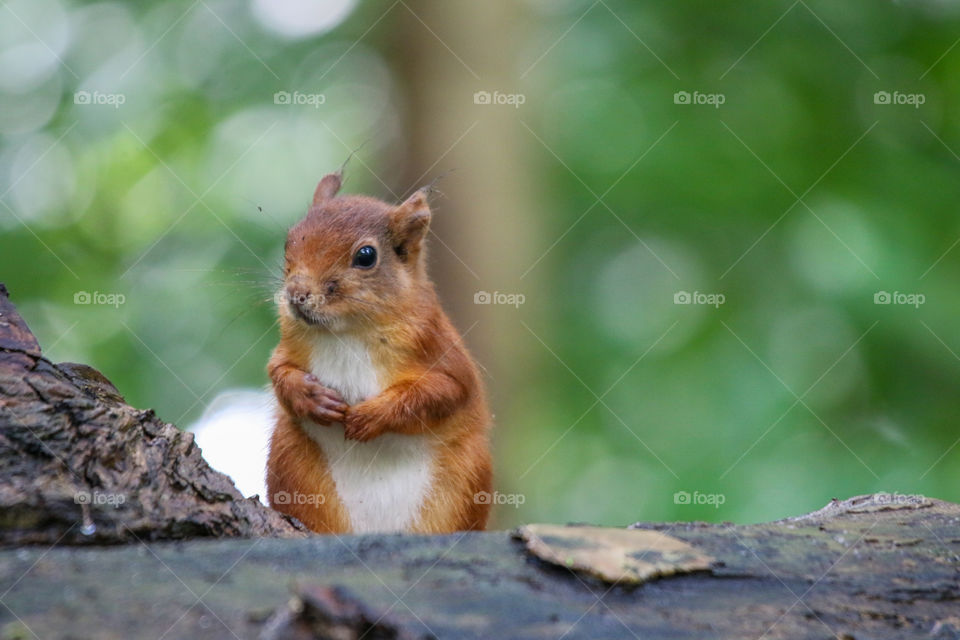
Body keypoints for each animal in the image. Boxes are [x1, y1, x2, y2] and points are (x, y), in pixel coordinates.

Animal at [266, 172, 492, 532]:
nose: (297, 294)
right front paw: (311, 397)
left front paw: (372, 416)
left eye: (366, 256)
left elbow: (443, 392)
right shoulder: (288, 349)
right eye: (290, 241)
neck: (348, 332)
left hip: (467, 476)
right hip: (292, 460)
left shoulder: (442, 351)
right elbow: (279, 373)